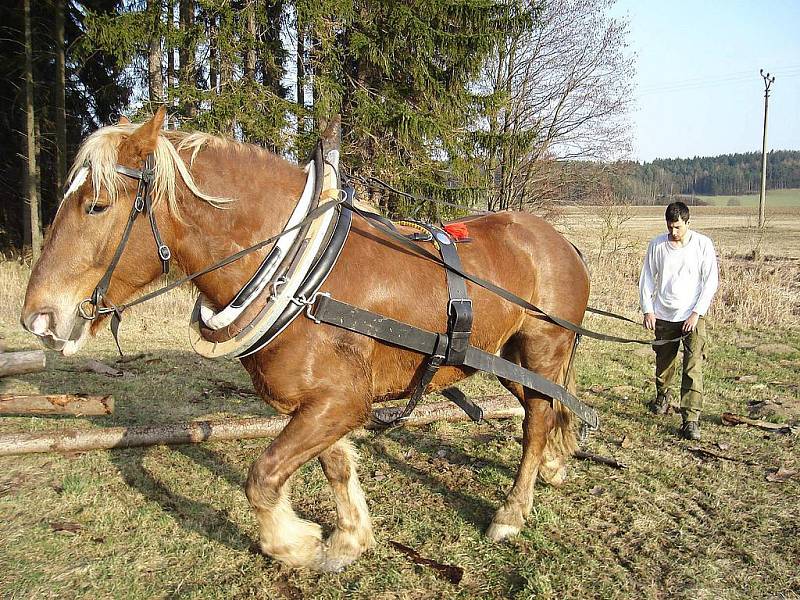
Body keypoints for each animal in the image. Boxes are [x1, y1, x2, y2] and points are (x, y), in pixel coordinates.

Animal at [21, 108, 592, 572]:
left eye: (96, 206)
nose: (38, 319)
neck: (301, 274)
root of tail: (560, 241)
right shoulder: (319, 403)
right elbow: (334, 466)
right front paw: (348, 539)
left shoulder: (341, 402)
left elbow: (262, 477)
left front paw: (296, 544)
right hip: (506, 357)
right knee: (548, 404)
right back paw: (556, 464)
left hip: (543, 348)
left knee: (537, 420)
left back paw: (512, 511)